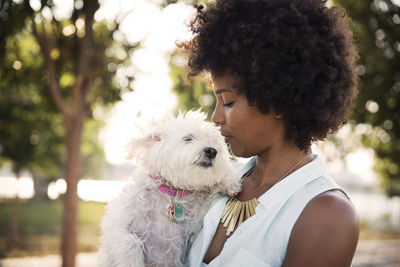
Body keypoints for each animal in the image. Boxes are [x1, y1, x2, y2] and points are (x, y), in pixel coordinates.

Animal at [99, 111, 241, 267]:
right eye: (188, 138)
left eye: (214, 142)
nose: (211, 151)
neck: (172, 192)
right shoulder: (118, 225)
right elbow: (129, 242)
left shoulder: (194, 225)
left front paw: (228, 182)